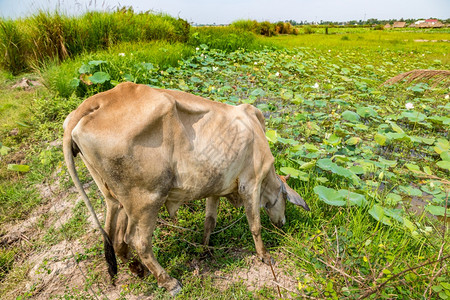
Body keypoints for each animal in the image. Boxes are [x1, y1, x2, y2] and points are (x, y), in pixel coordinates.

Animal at [63, 82, 310, 296]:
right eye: (285, 199)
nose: (282, 222)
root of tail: (99, 100)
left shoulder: (215, 187)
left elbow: (210, 222)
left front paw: (205, 249)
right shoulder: (251, 183)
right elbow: (255, 226)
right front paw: (264, 256)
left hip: (116, 199)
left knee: (114, 237)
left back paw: (137, 269)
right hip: (147, 199)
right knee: (137, 241)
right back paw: (168, 282)